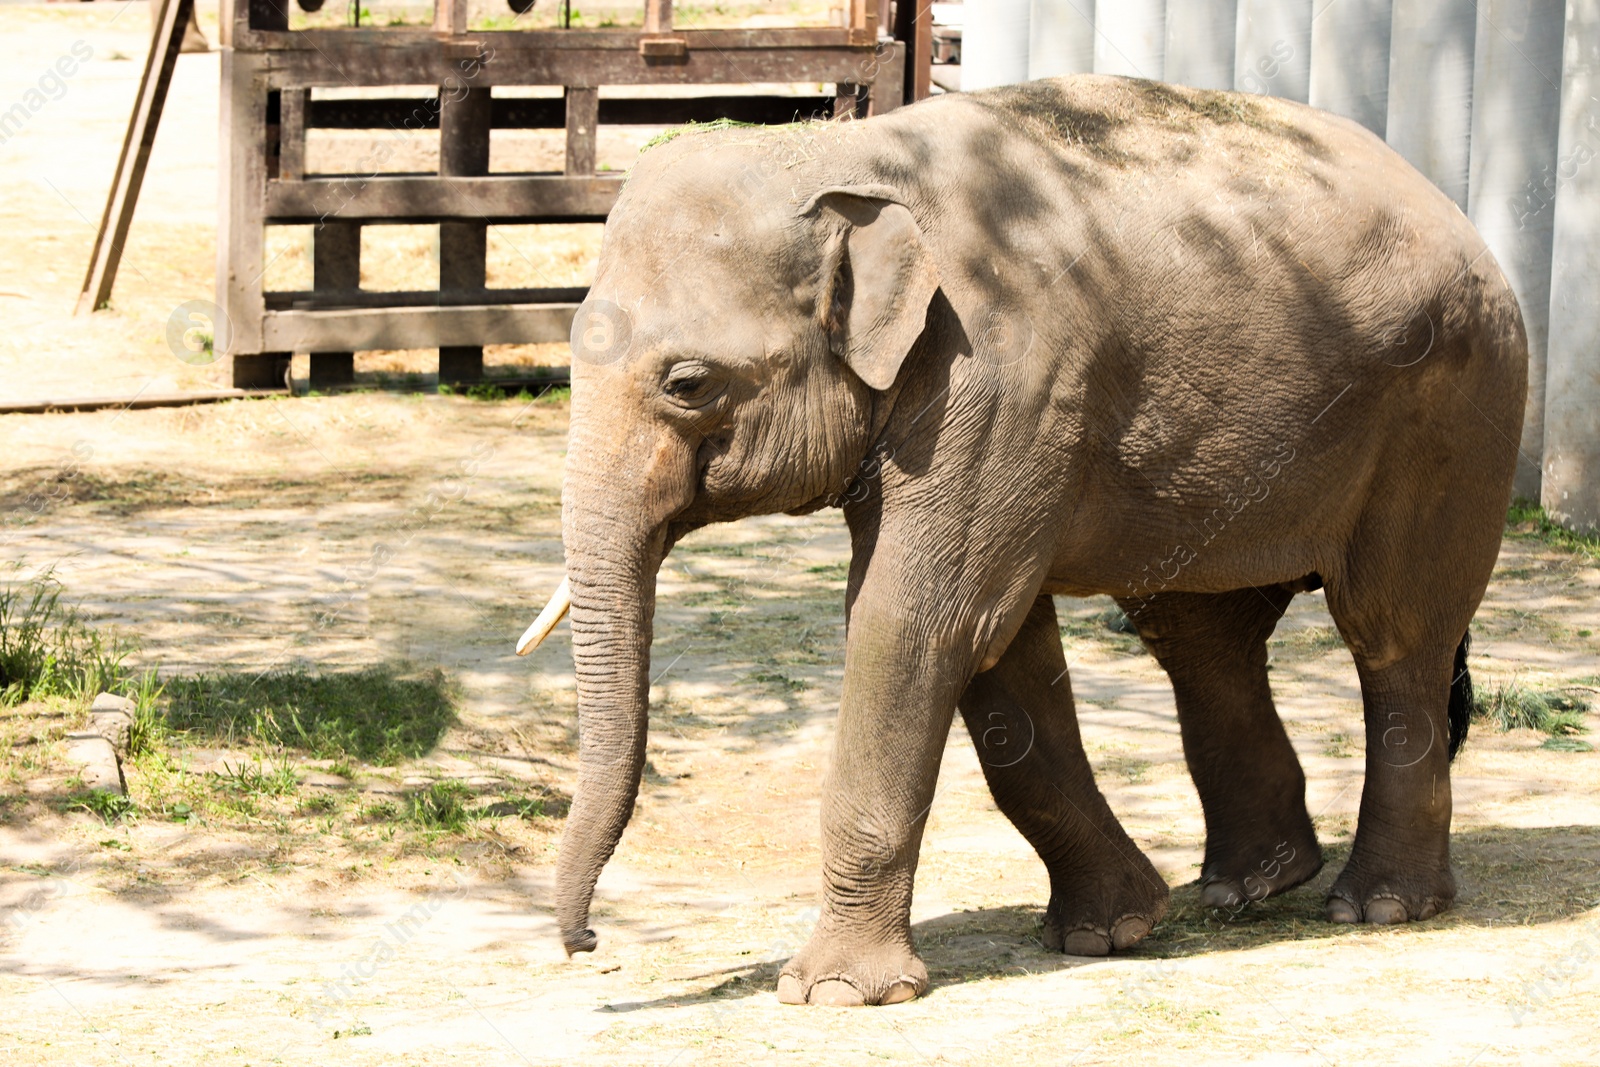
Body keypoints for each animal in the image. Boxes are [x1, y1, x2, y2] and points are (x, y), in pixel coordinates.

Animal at [521, 75, 1523, 1011]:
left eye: (688, 383)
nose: (587, 942)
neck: (847, 154)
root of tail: (1452, 206)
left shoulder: (1002, 379)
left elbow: (920, 622)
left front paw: (834, 994)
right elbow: (1002, 647)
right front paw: (1112, 930)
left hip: (1452, 411)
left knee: (1393, 632)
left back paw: (1379, 904)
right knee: (1199, 635)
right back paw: (1246, 886)